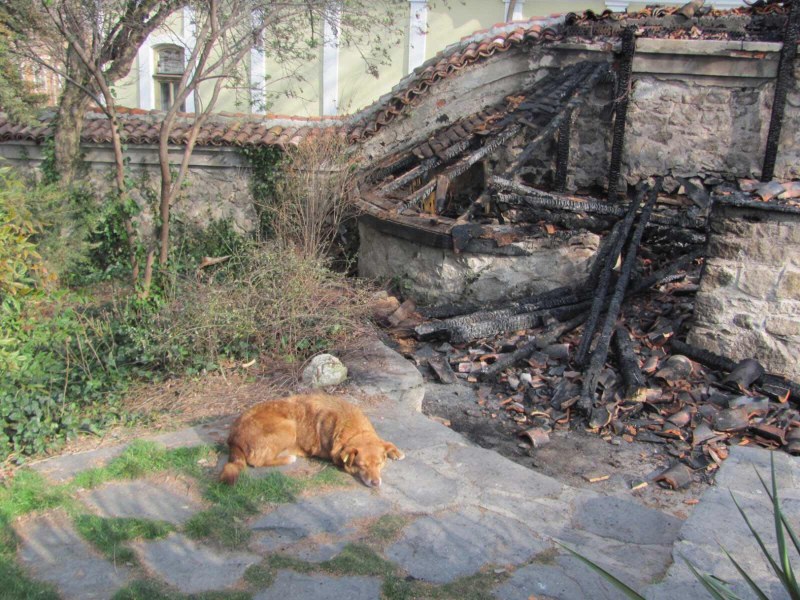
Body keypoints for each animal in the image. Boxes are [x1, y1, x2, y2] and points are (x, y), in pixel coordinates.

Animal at [219, 394, 404, 488]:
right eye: (362, 466)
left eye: (379, 464)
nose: (376, 483)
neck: (352, 428)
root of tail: (233, 437)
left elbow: (385, 442)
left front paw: (395, 451)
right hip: (288, 427)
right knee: (256, 460)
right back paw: (287, 458)